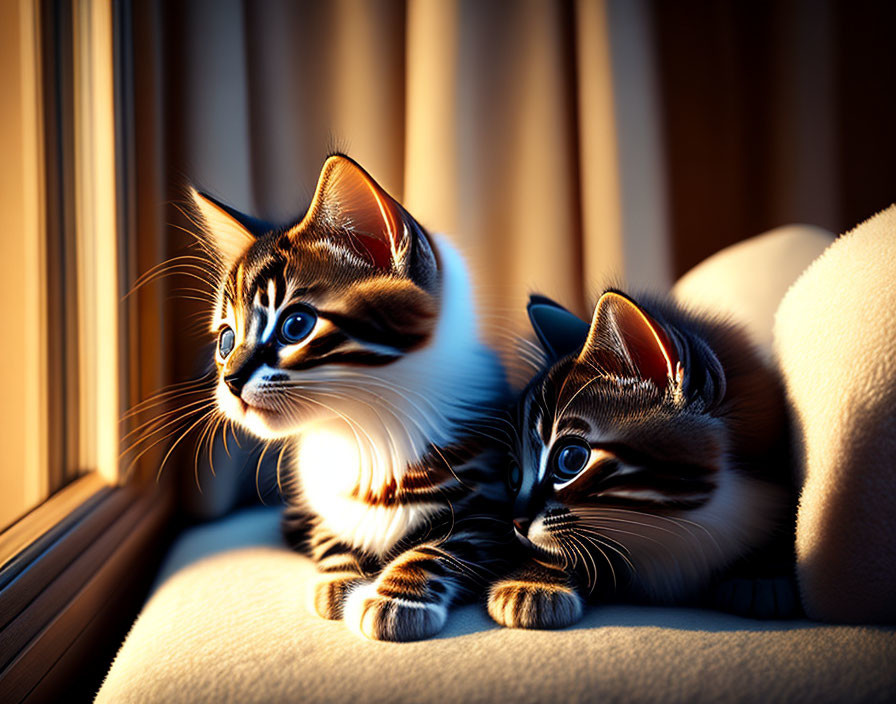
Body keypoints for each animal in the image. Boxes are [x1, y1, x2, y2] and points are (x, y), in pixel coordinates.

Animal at [191, 155, 512, 644]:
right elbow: (330, 535)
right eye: (226, 340)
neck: (359, 430)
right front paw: (340, 578)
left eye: (296, 326)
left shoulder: (491, 506)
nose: (229, 380)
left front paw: (397, 598)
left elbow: (442, 547)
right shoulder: (319, 505)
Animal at [490, 288, 800, 628]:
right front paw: (532, 583)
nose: (516, 522)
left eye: (570, 459)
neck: (675, 528)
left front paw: (763, 575)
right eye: (514, 474)